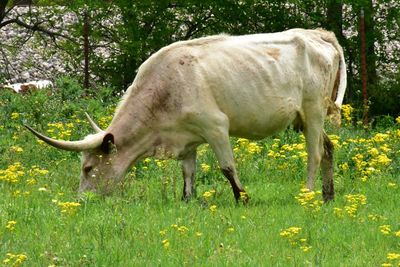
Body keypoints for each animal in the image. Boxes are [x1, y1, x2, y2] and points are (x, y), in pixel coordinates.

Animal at [27, 28, 346, 203]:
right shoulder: (187, 138)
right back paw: (328, 196)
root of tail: (317, 34)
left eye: (88, 168)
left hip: (313, 111)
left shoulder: (216, 127)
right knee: (329, 148)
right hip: (308, 118)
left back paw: (308, 194)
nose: (83, 201)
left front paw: (242, 199)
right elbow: (188, 173)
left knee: (315, 154)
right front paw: (187, 200)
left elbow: (227, 167)